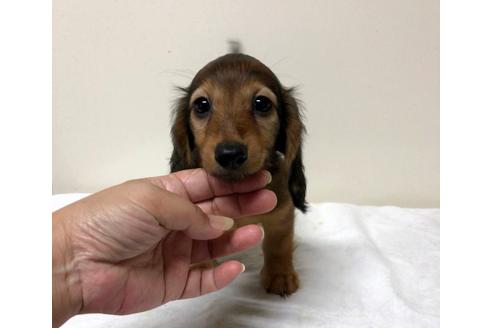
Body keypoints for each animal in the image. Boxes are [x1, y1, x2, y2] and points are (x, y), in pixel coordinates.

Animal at [171, 51, 306, 298]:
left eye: (262, 103)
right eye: (201, 105)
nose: (230, 154)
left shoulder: (281, 211)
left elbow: (278, 244)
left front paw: (280, 275)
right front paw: (200, 265)